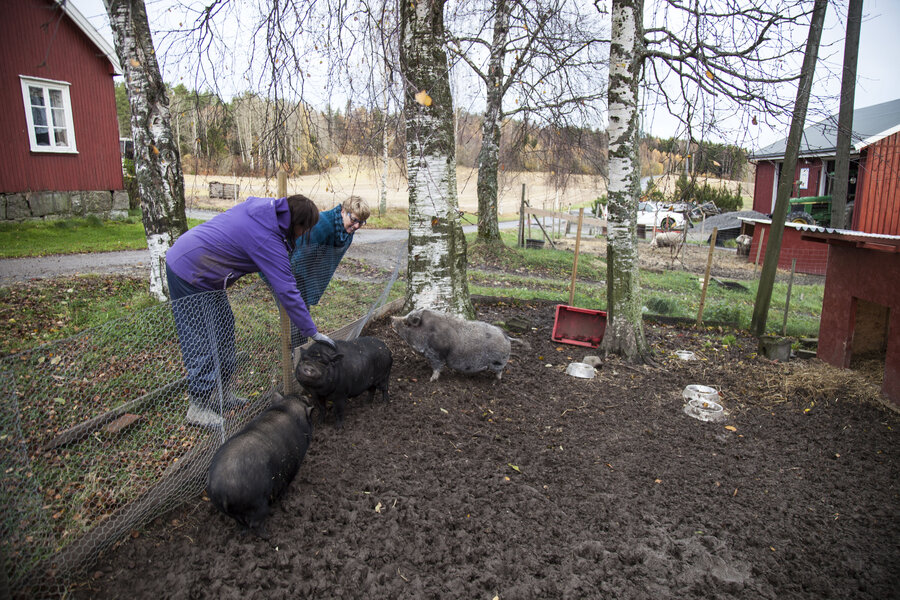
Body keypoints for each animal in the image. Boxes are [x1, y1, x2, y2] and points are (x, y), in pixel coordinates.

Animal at [207, 392, 312, 536]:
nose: (305, 396)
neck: (287, 408)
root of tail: (221, 491)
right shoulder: (291, 469)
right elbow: (285, 487)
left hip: (232, 512)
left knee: (241, 523)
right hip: (257, 505)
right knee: (255, 523)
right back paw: (268, 535)